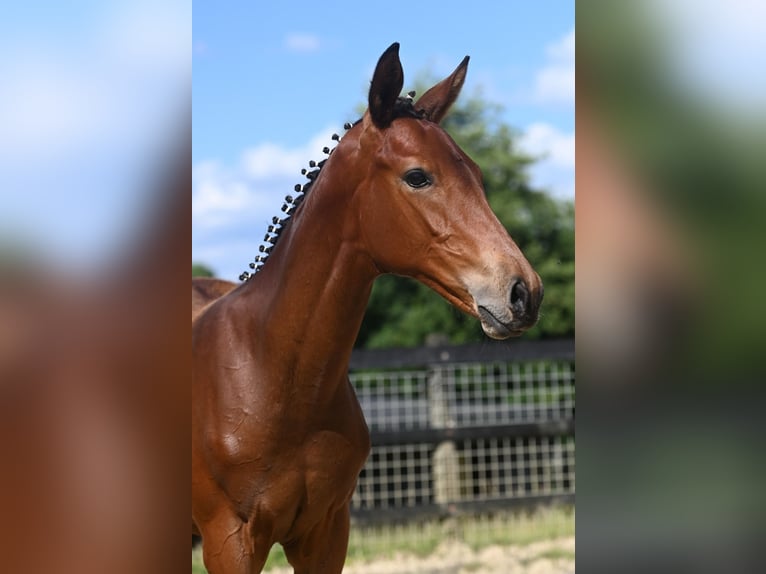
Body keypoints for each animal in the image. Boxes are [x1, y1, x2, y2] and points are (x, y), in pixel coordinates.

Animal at [194, 42, 544, 572]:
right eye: (417, 176)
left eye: (479, 175)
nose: (524, 292)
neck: (274, 375)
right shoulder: (229, 539)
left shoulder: (327, 531)